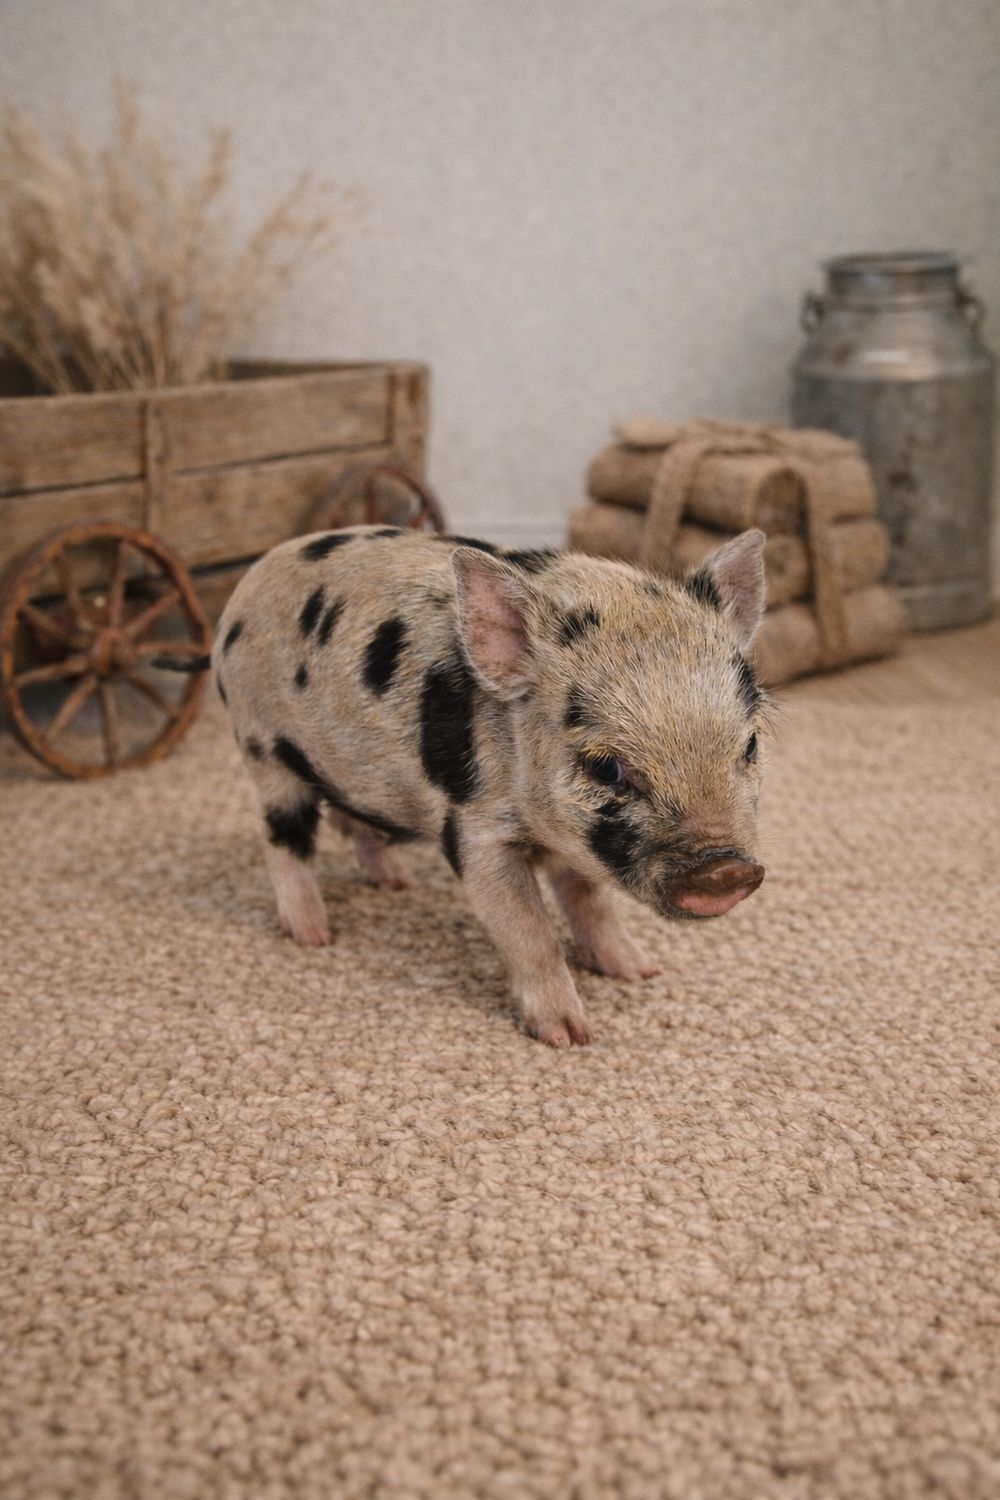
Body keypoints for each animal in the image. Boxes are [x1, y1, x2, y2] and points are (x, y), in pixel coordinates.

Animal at [211, 524, 768, 1046]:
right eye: (607, 767)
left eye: (750, 744)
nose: (725, 869)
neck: (545, 833)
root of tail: (251, 580)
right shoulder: (475, 831)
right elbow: (530, 930)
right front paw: (569, 1036)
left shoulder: (578, 843)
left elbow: (591, 903)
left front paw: (640, 972)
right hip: (262, 748)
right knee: (284, 841)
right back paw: (315, 936)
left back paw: (396, 883)